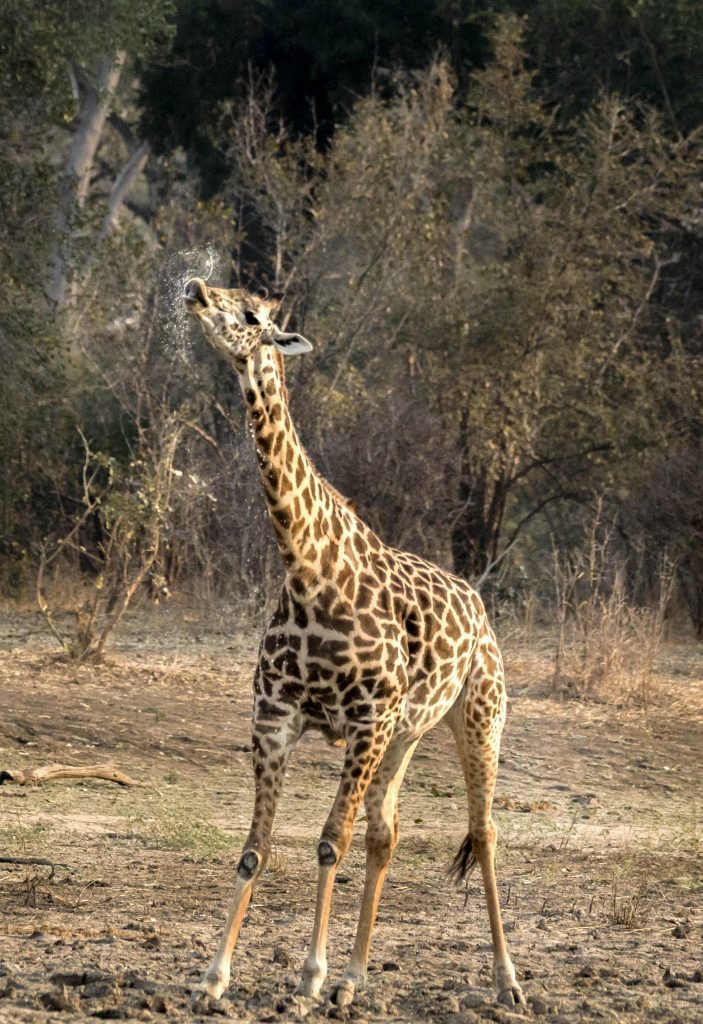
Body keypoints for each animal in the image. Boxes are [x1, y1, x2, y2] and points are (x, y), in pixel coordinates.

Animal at [184, 276, 523, 1011]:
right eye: (225, 290)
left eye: (249, 313)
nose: (194, 289)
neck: (307, 567)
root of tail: (478, 604)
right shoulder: (276, 716)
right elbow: (256, 847)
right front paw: (213, 978)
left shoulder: (364, 720)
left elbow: (326, 843)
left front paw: (307, 977)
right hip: (405, 735)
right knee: (384, 834)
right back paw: (355, 977)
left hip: (478, 714)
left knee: (483, 832)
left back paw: (507, 981)